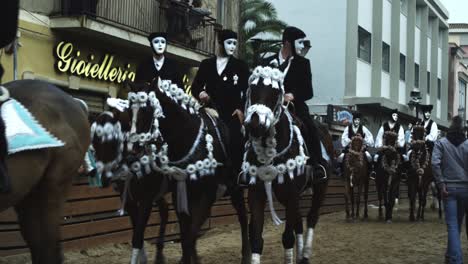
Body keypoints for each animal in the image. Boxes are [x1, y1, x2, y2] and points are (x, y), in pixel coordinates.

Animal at [90, 110, 169, 264]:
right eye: (94, 141)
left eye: (114, 141)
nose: (102, 179)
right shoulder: (129, 201)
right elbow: (137, 231)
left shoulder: (146, 200)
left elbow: (138, 235)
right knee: (165, 211)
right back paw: (159, 255)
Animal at [243, 66, 330, 264]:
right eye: (252, 88)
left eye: (276, 92)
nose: (255, 124)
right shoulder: (256, 194)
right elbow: (257, 239)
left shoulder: (291, 195)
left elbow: (287, 238)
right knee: (298, 223)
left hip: (320, 187)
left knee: (311, 218)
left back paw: (305, 255)